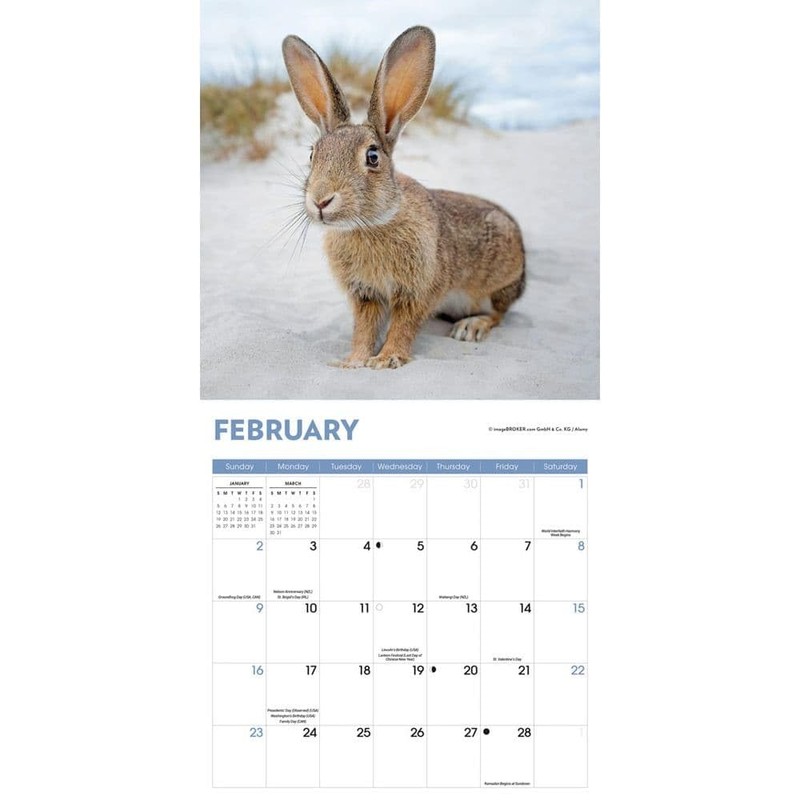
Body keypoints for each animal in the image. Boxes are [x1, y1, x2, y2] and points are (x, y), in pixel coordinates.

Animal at [282, 25, 526, 369]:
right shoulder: (366, 294)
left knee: (498, 314)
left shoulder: (417, 291)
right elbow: (364, 329)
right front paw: (353, 361)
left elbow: (404, 325)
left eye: (372, 157)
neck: (370, 225)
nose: (320, 201)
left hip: (496, 284)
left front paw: (386, 360)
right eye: (313, 154)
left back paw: (471, 327)